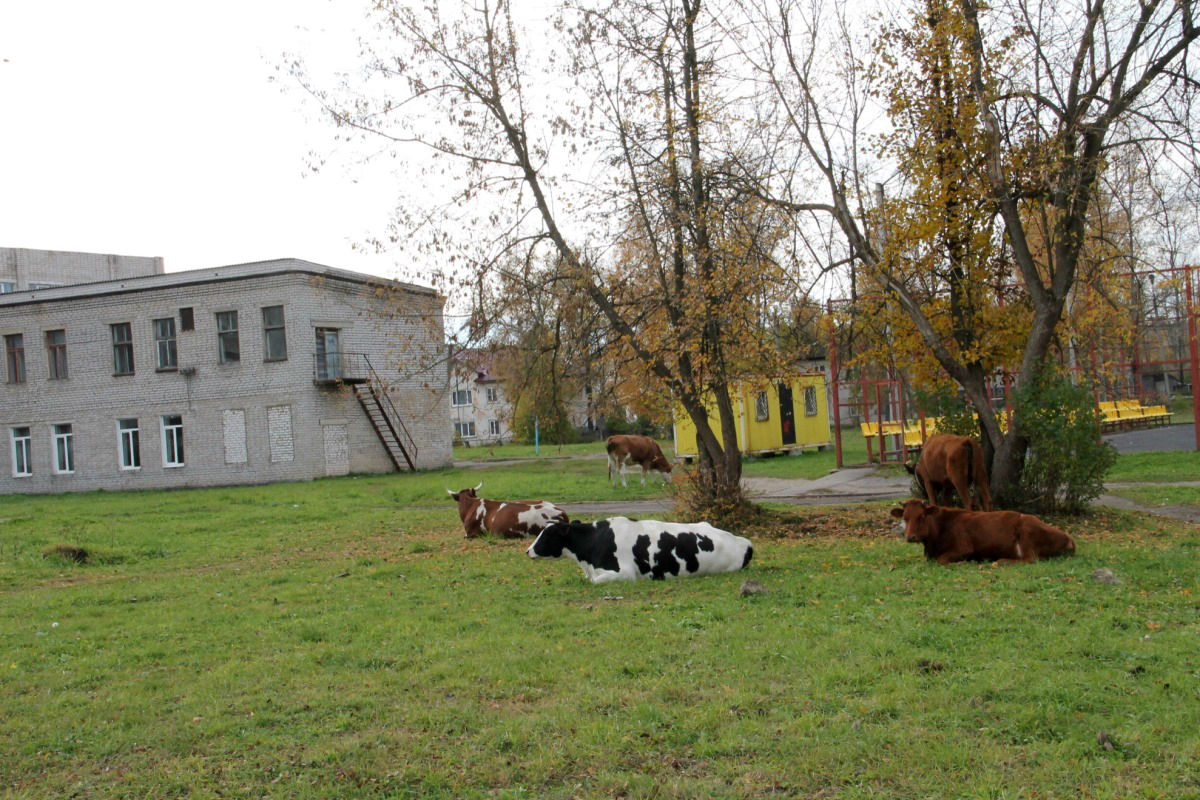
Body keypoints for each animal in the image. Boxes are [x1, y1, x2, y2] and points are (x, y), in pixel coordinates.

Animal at [892, 496, 1080, 566]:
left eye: (922, 516)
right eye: (905, 517)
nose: (910, 537)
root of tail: (1069, 538)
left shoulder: (964, 548)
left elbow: (942, 559)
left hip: (1026, 532)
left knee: (1029, 559)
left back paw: (1000, 561)